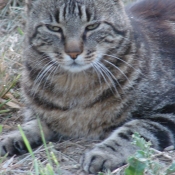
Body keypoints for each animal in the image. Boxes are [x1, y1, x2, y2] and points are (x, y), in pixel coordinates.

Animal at [0, 0, 175, 174]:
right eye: (54, 28)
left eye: (92, 26)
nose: (73, 52)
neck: (74, 85)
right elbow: (35, 122)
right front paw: (16, 135)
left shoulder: (168, 109)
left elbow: (134, 130)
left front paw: (104, 153)